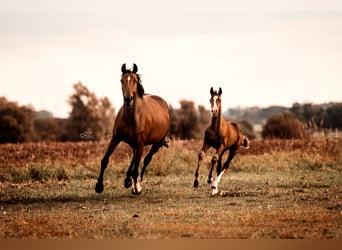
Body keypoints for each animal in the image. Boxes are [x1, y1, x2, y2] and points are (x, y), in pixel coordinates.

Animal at [95, 63, 170, 194]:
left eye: (135, 80)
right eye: (121, 80)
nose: (128, 99)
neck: (130, 117)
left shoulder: (141, 143)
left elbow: (137, 168)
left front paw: (137, 188)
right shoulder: (116, 138)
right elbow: (105, 160)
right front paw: (99, 186)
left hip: (157, 143)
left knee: (146, 159)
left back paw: (137, 181)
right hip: (135, 144)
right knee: (135, 158)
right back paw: (127, 180)